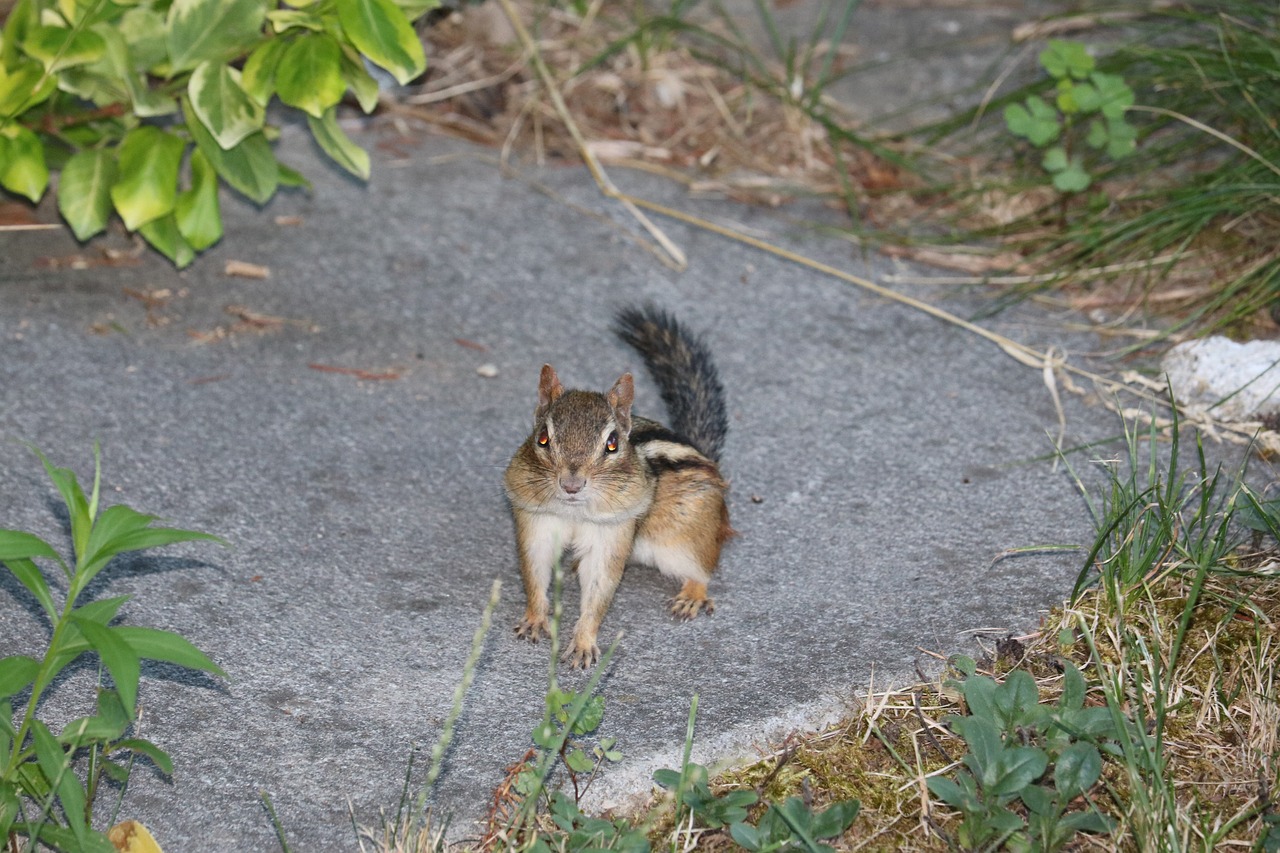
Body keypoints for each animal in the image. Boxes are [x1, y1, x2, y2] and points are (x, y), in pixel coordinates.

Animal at [503, 304, 733, 668]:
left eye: (612, 444)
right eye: (542, 438)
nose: (571, 484)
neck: (575, 513)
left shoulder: (611, 532)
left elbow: (600, 588)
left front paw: (583, 642)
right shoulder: (536, 521)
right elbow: (535, 571)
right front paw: (535, 618)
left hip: (687, 535)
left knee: (702, 568)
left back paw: (692, 595)